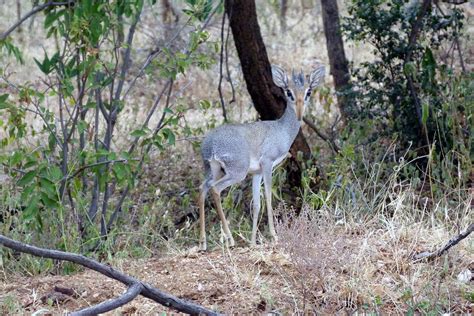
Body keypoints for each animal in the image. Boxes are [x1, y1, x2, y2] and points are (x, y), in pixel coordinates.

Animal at [197, 63, 326, 249]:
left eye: (308, 91)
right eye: (288, 92)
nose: (300, 113)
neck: (281, 130)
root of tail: (211, 144)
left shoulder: (256, 173)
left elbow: (257, 204)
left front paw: (252, 242)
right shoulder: (267, 164)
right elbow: (269, 197)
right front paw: (274, 236)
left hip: (214, 170)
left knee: (203, 188)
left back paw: (203, 242)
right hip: (236, 173)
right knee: (215, 189)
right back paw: (230, 239)